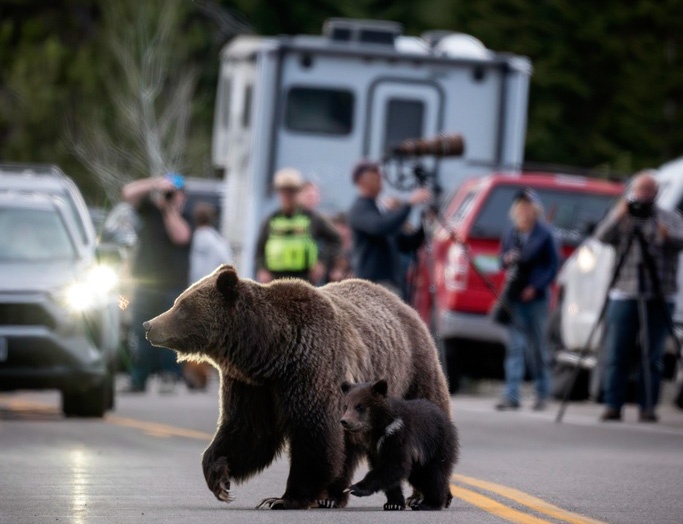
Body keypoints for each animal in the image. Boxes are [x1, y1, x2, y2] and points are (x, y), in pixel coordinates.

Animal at [340, 380, 458, 511]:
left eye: (360, 406)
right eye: (345, 406)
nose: (344, 421)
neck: (379, 429)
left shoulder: (399, 436)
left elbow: (395, 464)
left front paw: (353, 488)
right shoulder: (374, 448)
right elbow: (385, 469)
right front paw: (393, 503)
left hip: (437, 446)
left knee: (434, 475)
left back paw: (430, 503)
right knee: (420, 476)